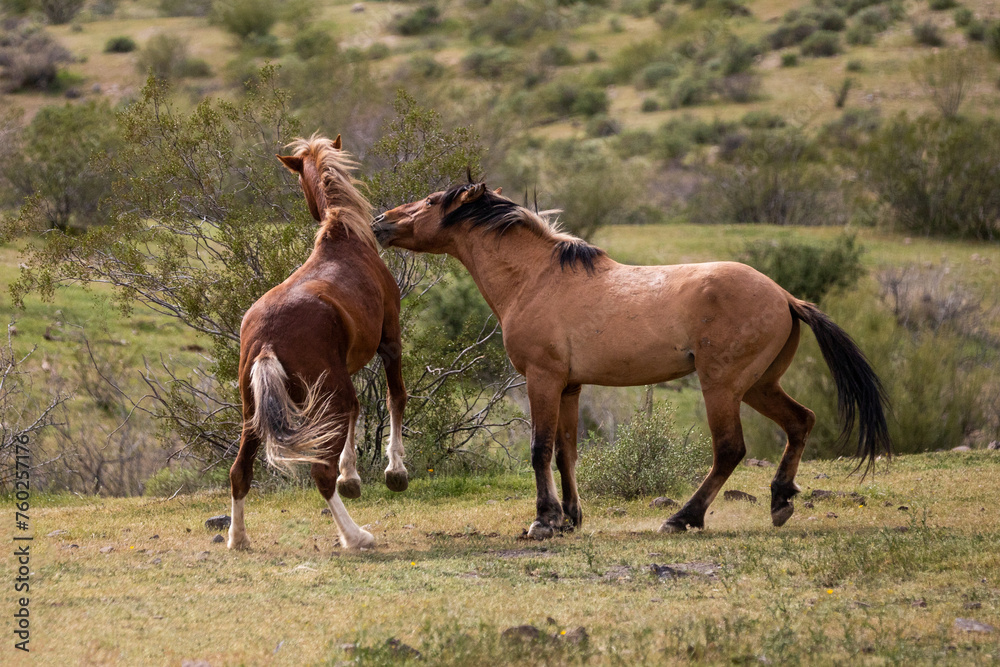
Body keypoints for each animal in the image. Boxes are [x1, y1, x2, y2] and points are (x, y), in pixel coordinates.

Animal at [229, 136, 408, 552]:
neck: (345, 238)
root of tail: (266, 340)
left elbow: (360, 410)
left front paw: (352, 476)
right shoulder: (390, 341)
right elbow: (395, 397)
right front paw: (394, 471)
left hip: (253, 412)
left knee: (239, 472)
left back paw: (238, 538)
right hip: (327, 396)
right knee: (320, 475)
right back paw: (356, 536)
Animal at [376, 185, 892, 540]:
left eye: (429, 201)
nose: (381, 220)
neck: (536, 280)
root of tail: (784, 295)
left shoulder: (542, 380)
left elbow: (540, 449)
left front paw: (544, 521)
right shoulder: (569, 386)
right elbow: (566, 451)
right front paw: (571, 518)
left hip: (722, 387)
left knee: (730, 449)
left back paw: (683, 518)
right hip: (760, 385)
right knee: (800, 422)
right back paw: (780, 501)